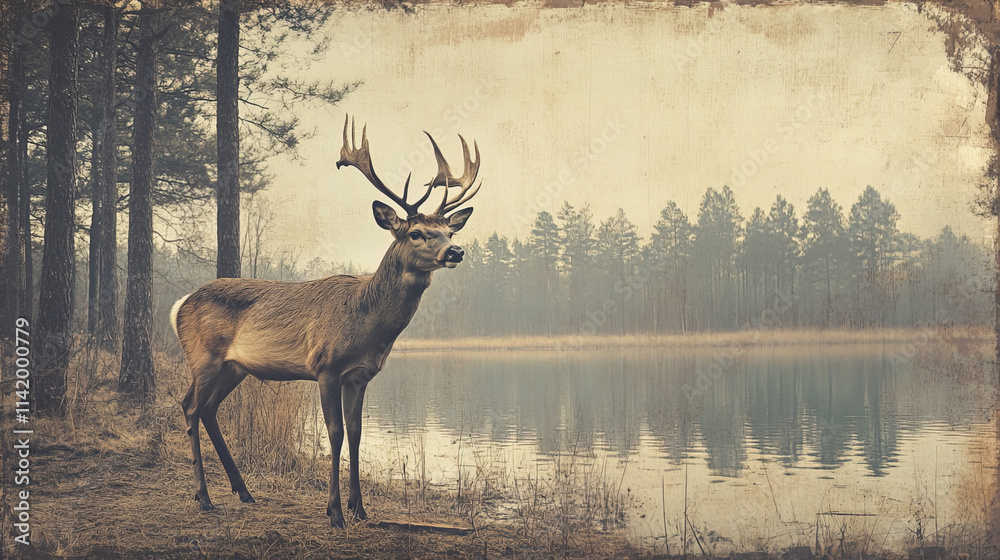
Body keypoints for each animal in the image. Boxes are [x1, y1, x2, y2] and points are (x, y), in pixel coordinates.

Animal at [169, 115, 482, 529]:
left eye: (450, 231)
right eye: (416, 233)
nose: (456, 251)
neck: (366, 324)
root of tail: (179, 305)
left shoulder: (360, 375)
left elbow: (357, 434)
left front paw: (360, 508)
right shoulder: (325, 367)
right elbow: (335, 434)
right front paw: (334, 512)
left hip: (234, 367)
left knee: (208, 409)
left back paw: (243, 491)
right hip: (203, 357)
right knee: (190, 405)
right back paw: (204, 497)